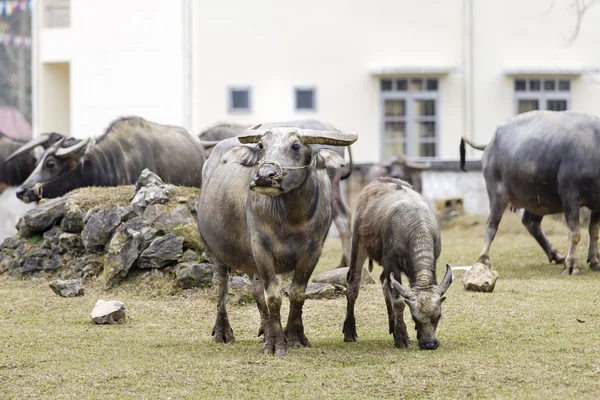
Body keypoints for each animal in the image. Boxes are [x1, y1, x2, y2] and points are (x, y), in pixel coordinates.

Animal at [342, 178, 450, 350]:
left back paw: (392, 325)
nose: (429, 344)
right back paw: (350, 332)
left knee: (384, 282)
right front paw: (402, 337)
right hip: (358, 243)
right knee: (353, 285)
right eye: (414, 318)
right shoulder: (391, 263)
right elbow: (398, 301)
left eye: (438, 316)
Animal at [462, 111, 600, 276]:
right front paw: (572, 267)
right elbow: (575, 233)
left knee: (530, 222)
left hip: (537, 199)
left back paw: (556, 255)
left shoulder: (598, 203)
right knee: (492, 224)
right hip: (497, 192)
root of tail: (489, 144)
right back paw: (483, 259)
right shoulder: (570, 197)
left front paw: (595, 262)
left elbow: (594, 231)